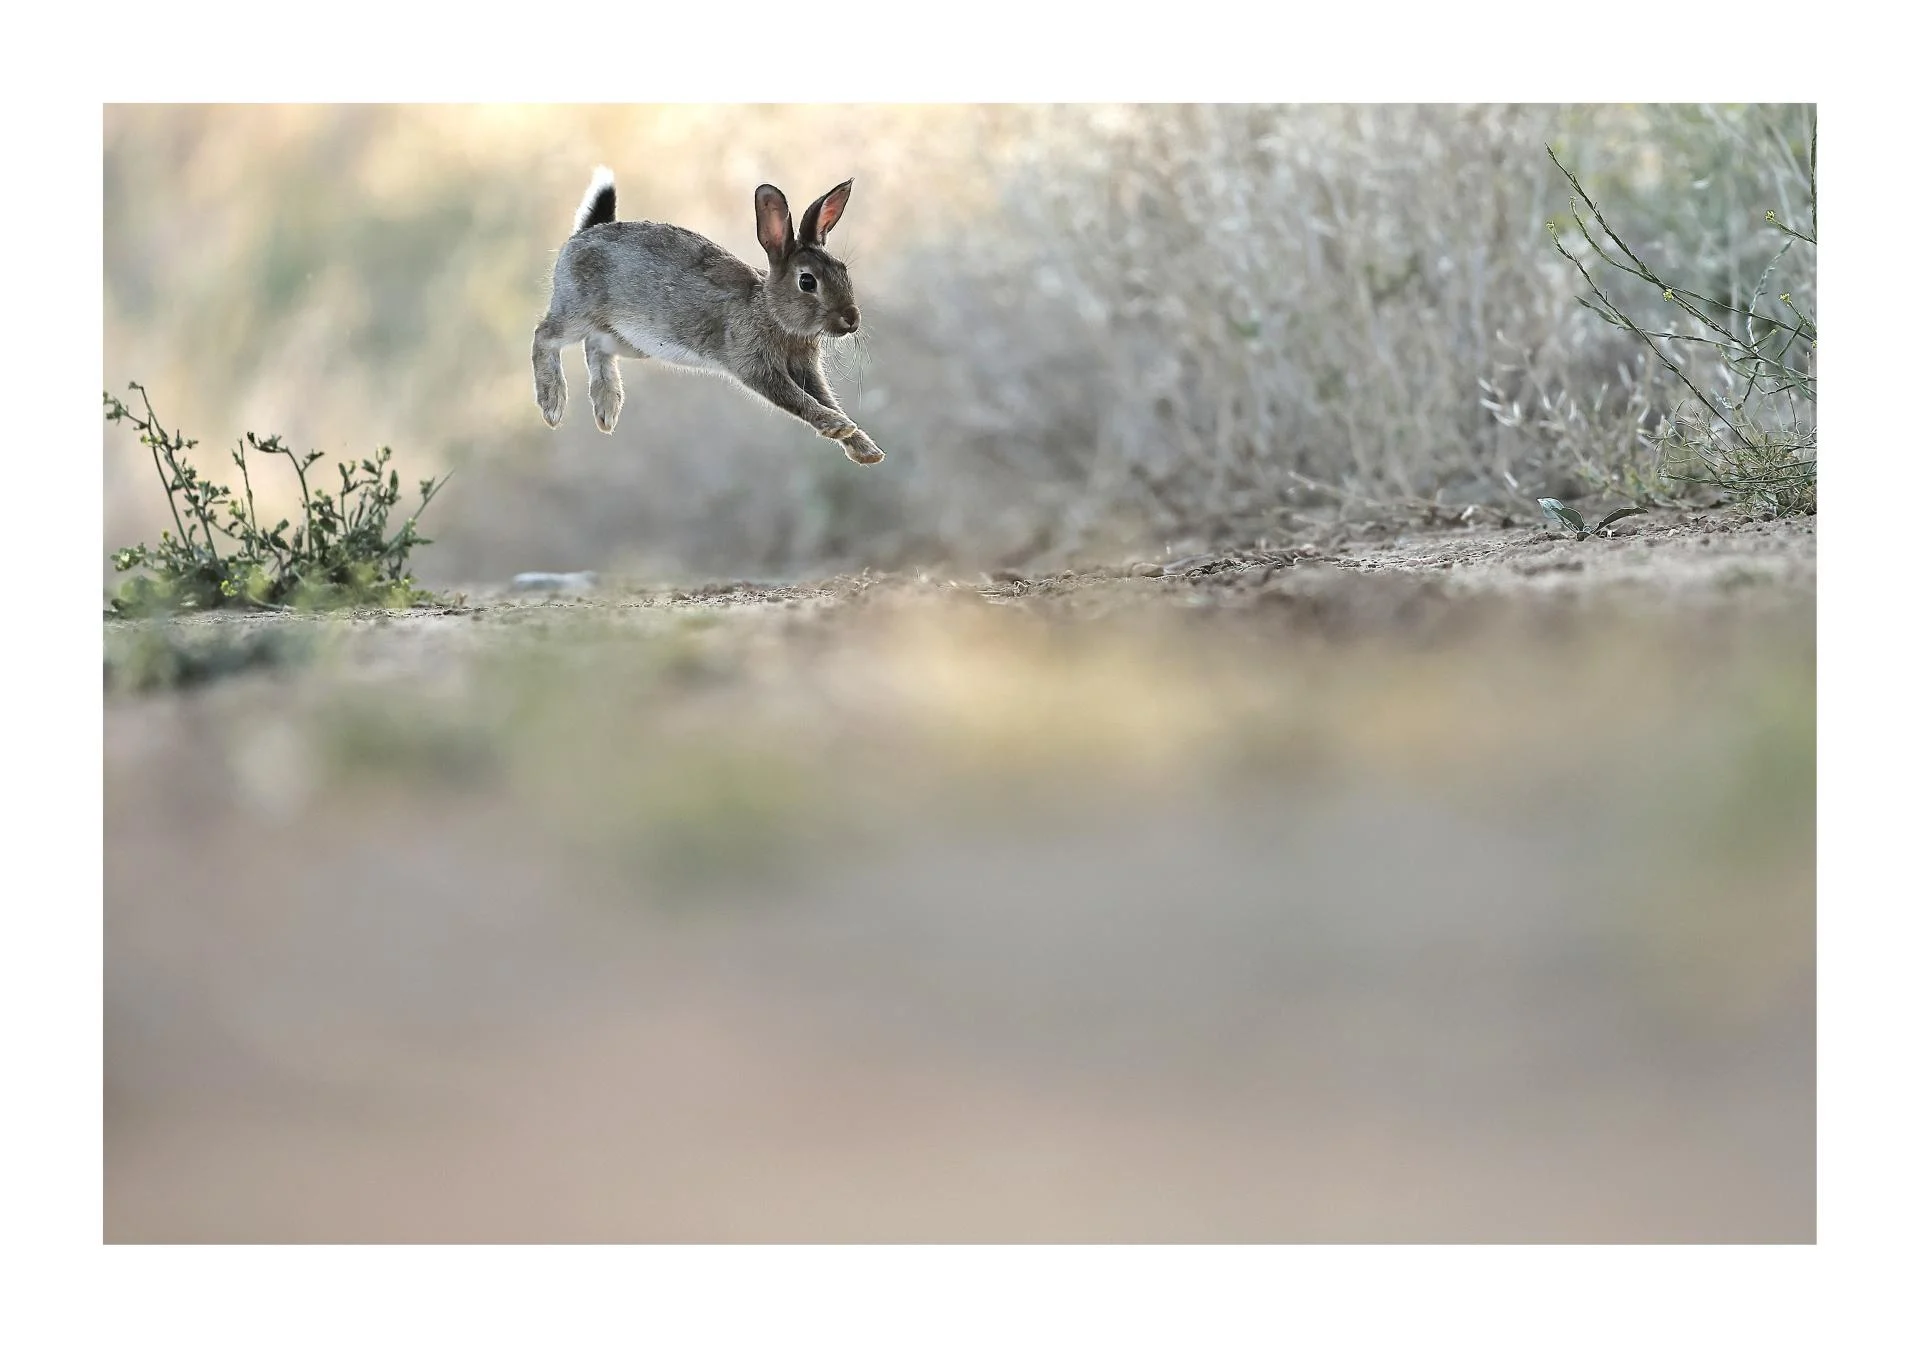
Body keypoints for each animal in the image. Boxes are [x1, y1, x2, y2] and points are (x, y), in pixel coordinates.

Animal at [531, 167, 883, 465]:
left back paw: (607, 407)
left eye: (843, 269)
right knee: (545, 336)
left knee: (595, 346)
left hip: (631, 341)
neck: (769, 309)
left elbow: (824, 397)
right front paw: (838, 426)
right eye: (807, 281)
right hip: (577, 310)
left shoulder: (805, 367)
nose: (852, 320)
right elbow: (798, 399)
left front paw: (865, 448)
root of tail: (581, 235)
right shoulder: (756, 366)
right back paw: (553, 404)